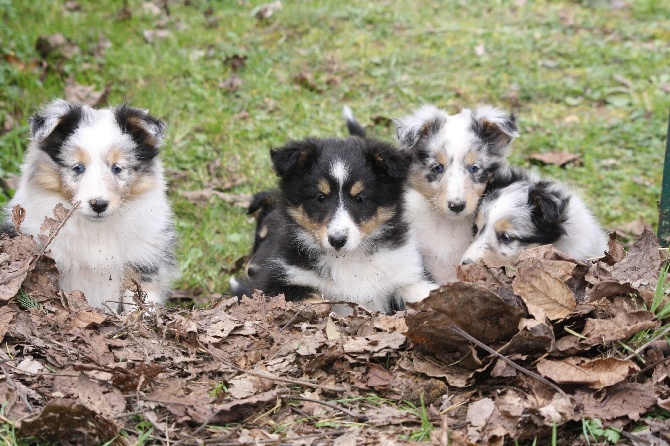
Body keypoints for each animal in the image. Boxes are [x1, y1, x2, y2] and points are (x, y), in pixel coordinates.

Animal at [4, 99, 178, 312]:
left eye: (117, 168)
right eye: (78, 167)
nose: (98, 204)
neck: (96, 231)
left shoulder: (144, 261)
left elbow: (140, 300)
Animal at [234, 136, 438, 314]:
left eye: (359, 199)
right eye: (320, 197)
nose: (338, 240)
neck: (347, 260)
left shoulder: (407, 274)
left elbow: (425, 293)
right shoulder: (279, 281)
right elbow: (313, 298)